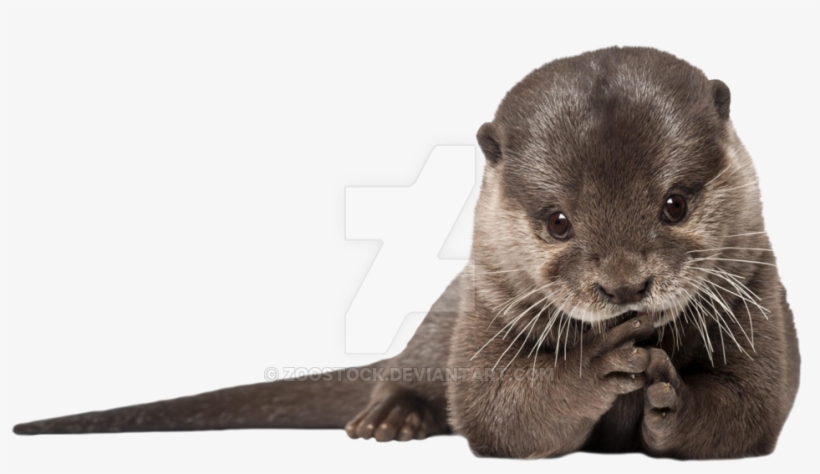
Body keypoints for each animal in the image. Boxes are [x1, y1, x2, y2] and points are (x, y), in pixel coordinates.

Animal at [13, 46, 800, 459]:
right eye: (557, 221)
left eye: (675, 204)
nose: (624, 286)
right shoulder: (485, 307)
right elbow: (495, 411)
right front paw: (600, 362)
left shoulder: (759, 295)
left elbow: (754, 407)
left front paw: (673, 391)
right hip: (444, 315)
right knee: (405, 373)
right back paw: (388, 420)